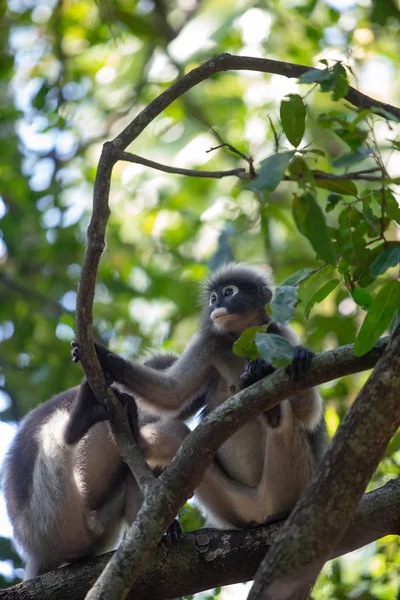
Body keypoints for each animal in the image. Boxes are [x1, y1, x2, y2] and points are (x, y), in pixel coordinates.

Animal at [73, 264, 326, 528]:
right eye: (213, 298)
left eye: (228, 292)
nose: (216, 304)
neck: (242, 339)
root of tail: (260, 511)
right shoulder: (209, 341)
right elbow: (172, 393)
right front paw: (105, 358)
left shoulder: (282, 334)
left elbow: (308, 415)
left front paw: (299, 356)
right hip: (229, 506)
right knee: (177, 435)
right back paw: (135, 435)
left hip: (292, 485)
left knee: (288, 421)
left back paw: (270, 402)